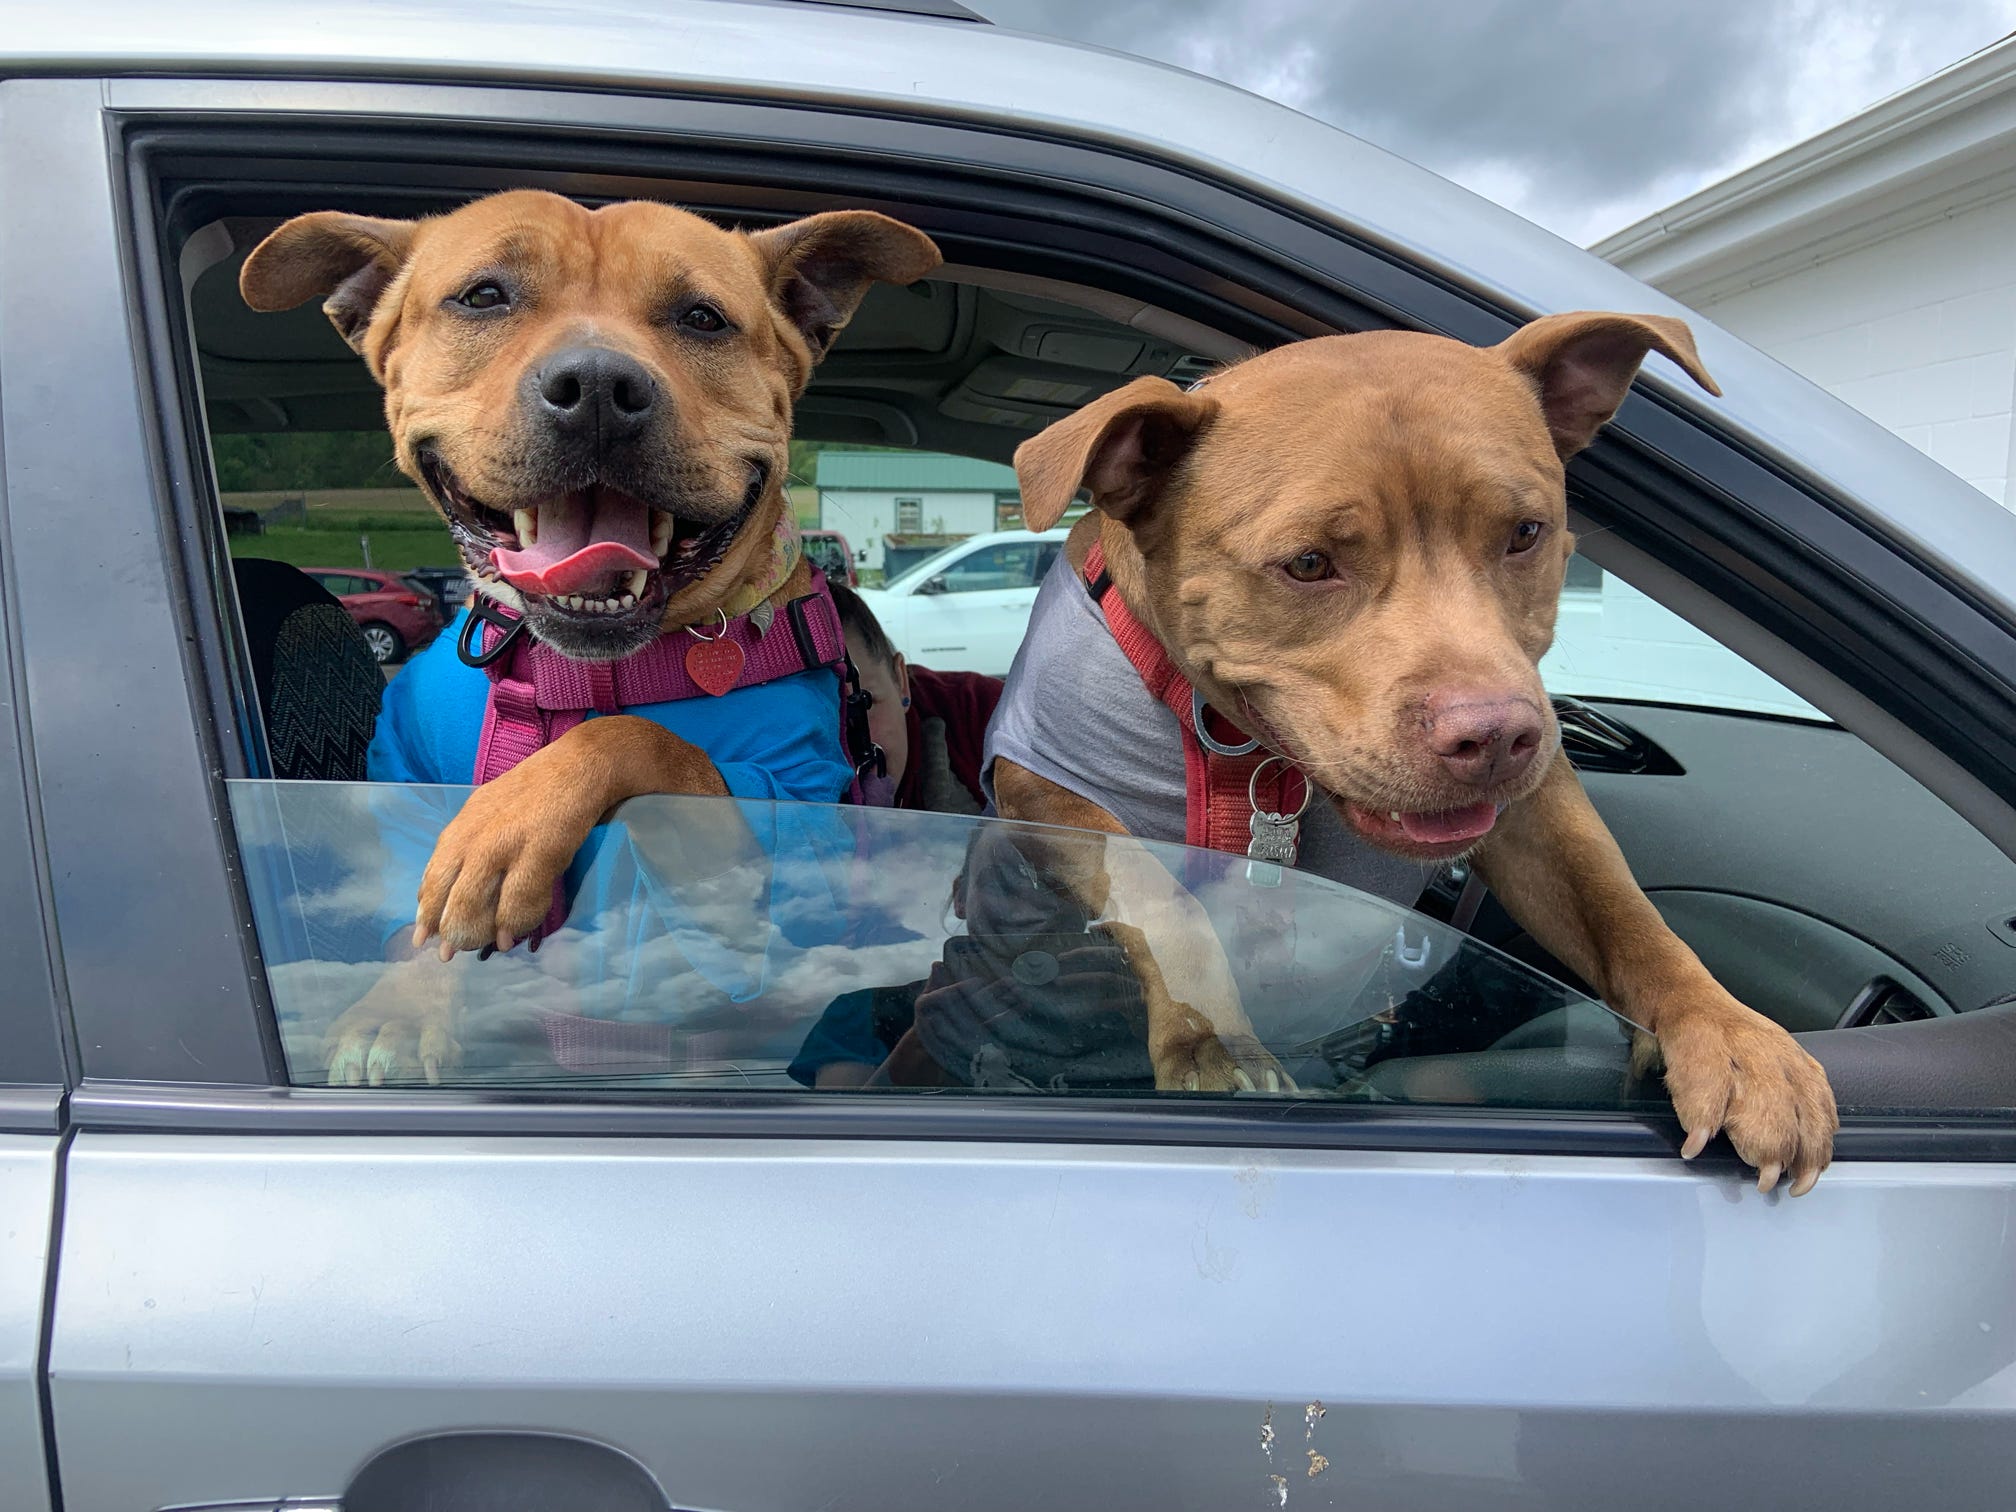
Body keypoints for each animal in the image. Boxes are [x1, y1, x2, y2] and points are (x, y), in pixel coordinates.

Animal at [239, 192, 939, 1088]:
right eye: (484, 296)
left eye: (703, 317)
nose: (600, 387)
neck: (573, 671)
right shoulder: (405, 777)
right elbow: (416, 915)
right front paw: (400, 1007)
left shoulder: (786, 822)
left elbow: (638, 738)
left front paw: (507, 825)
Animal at [991, 320, 1846, 1193]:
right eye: (1308, 563)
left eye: (1525, 533)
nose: (1495, 736)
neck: (1242, 746)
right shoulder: (1039, 786)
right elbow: (1159, 890)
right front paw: (1209, 1039)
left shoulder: (1537, 820)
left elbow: (1623, 910)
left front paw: (1732, 1035)